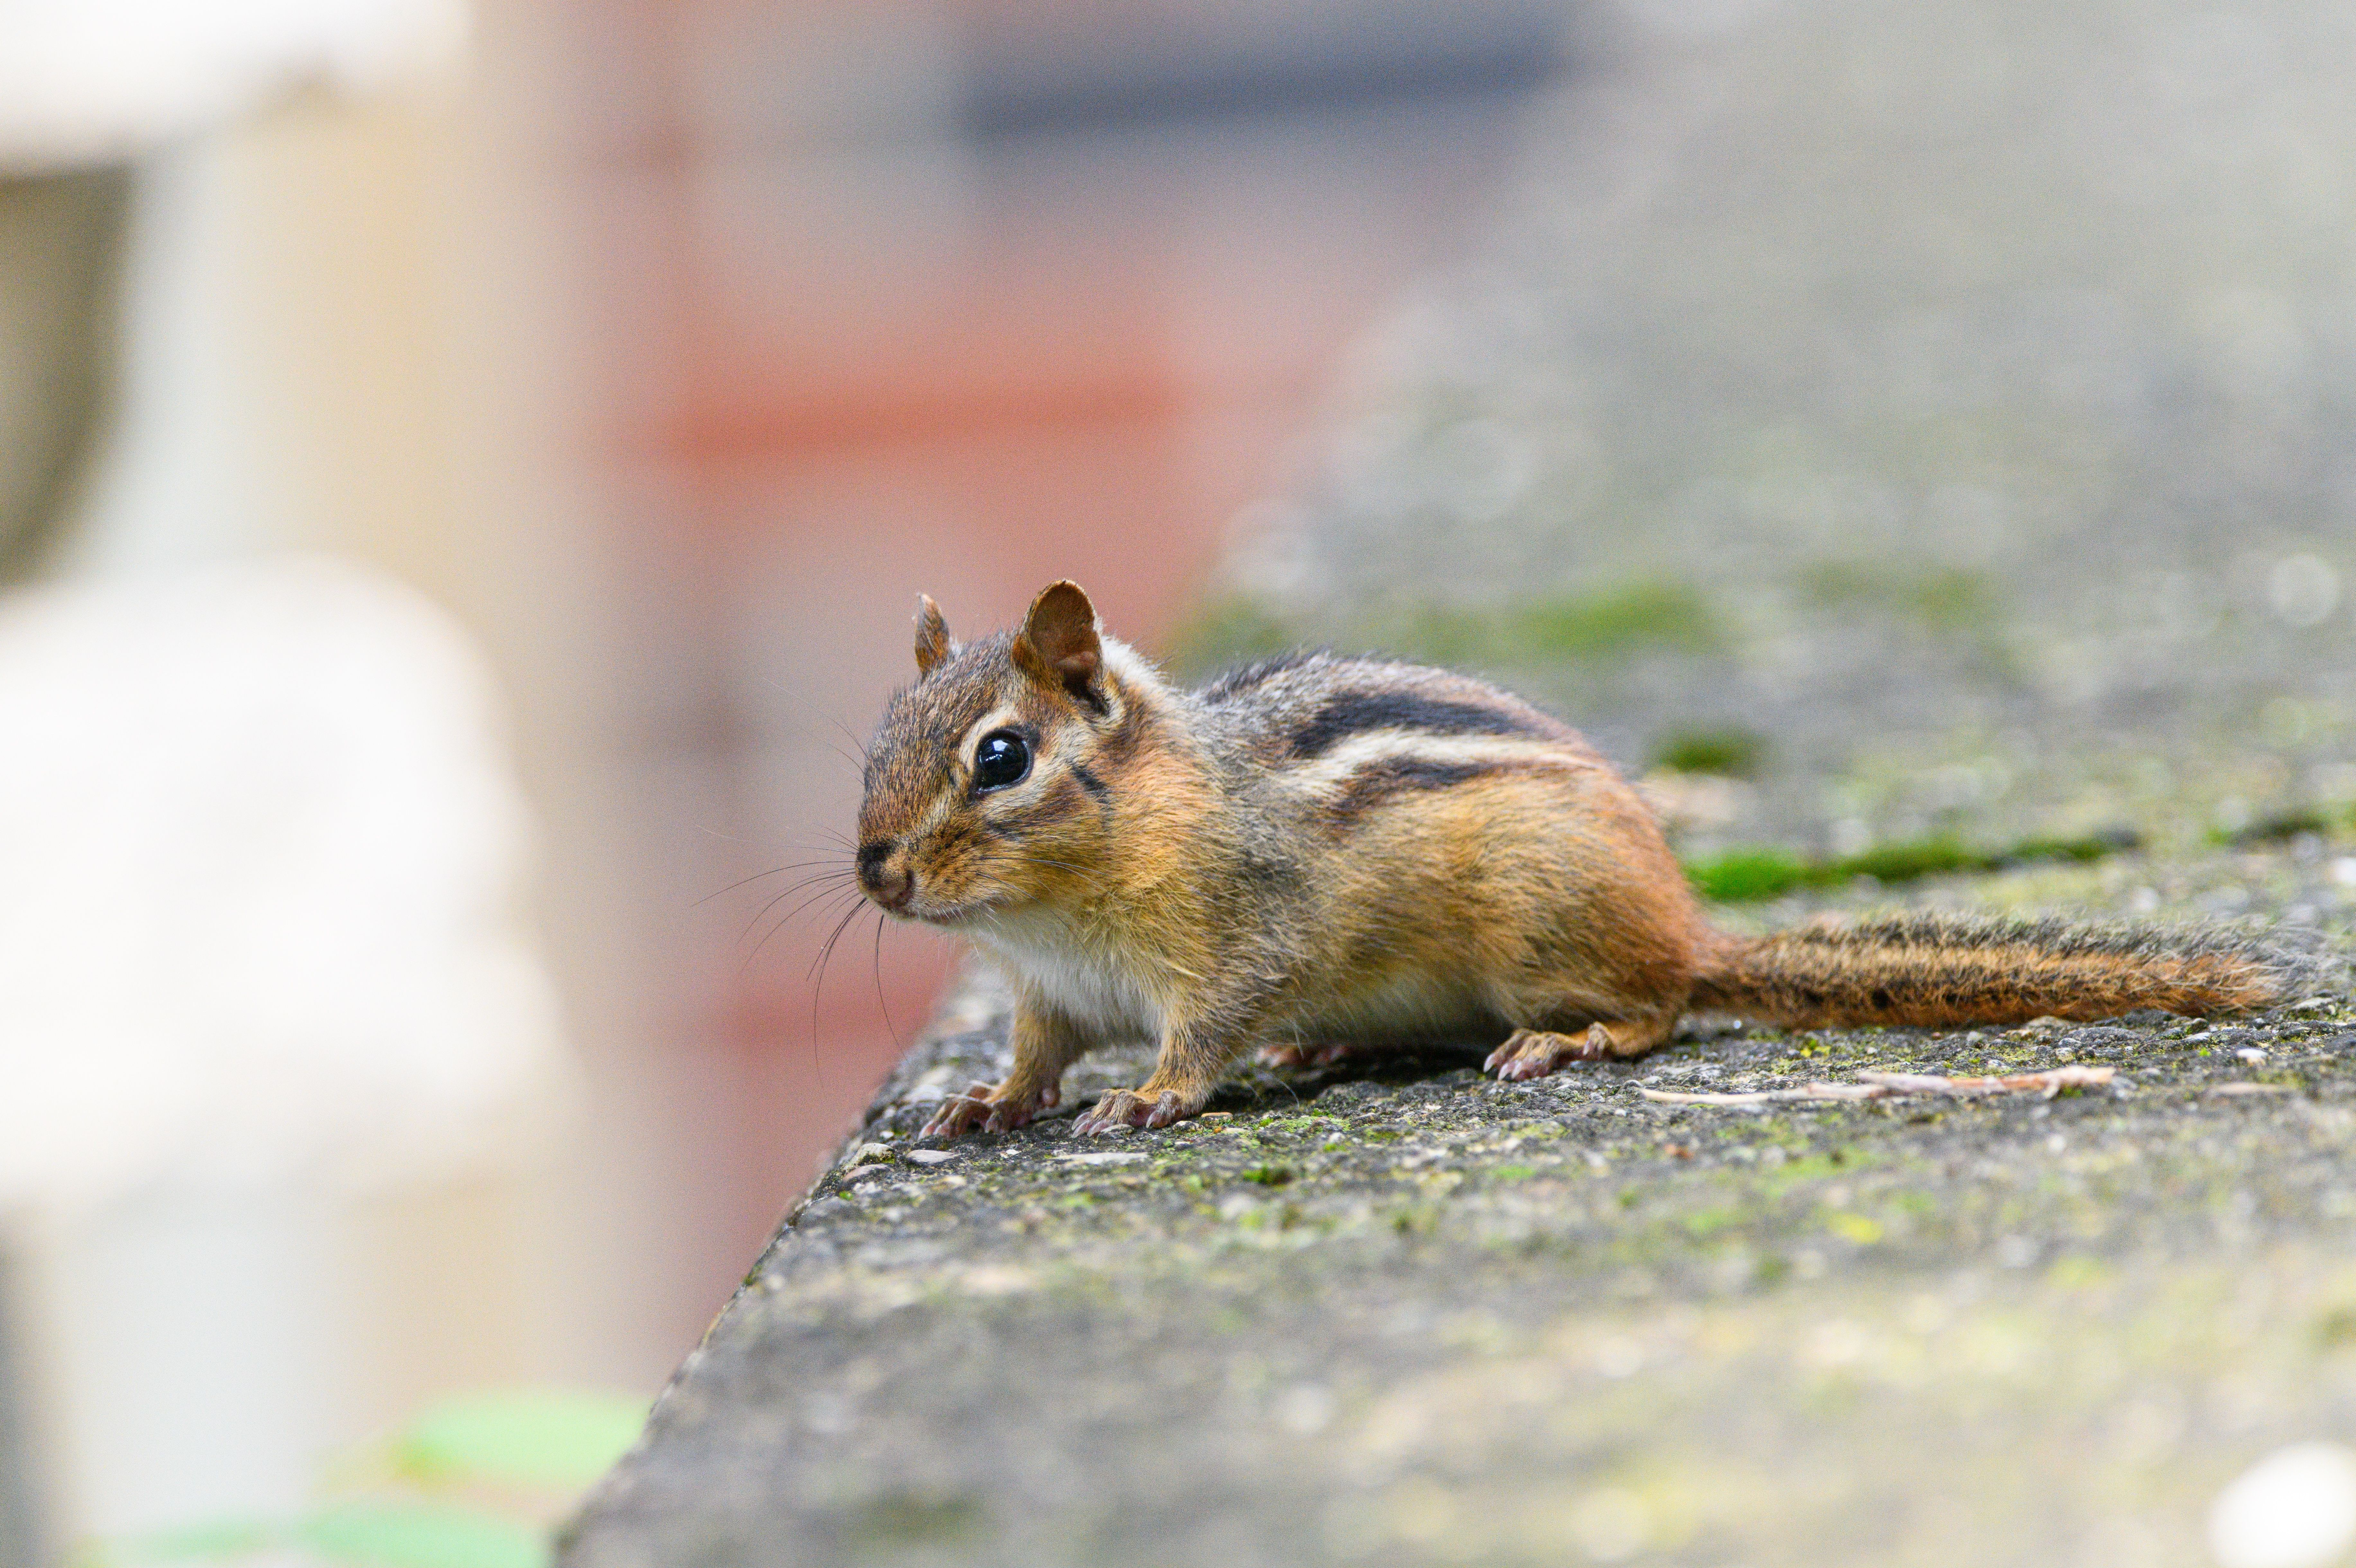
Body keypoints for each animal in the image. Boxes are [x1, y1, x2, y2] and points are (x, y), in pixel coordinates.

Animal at [851, 580, 2288, 1137]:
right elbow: (1033, 1055)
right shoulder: (1047, 994)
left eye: (999, 757)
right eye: (876, 735)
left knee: (1659, 1008)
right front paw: (984, 1103)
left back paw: (1569, 1040)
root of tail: (1687, 920)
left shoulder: (1234, 942)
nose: (875, 873)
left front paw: (1150, 1097)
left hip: (1536, 929)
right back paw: (1335, 1045)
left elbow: (1205, 1031)